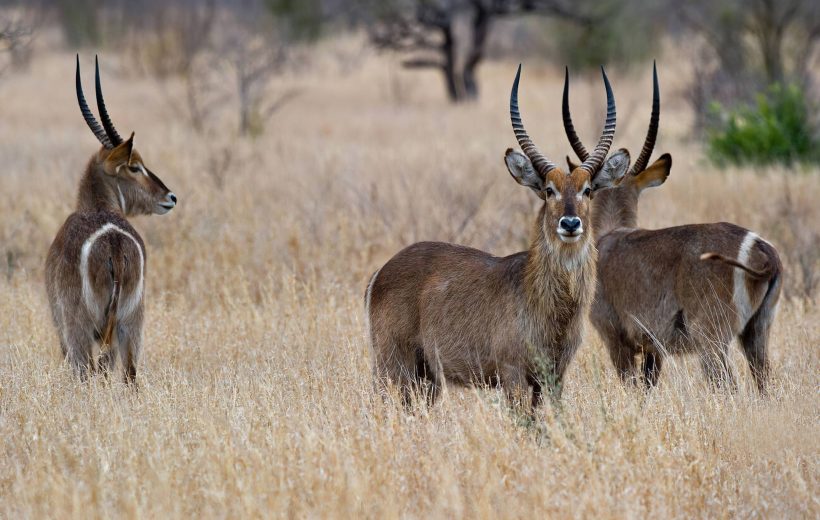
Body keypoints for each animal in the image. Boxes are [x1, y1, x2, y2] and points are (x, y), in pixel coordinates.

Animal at [45, 55, 177, 382]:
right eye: (135, 166)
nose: (170, 197)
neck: (97, 207)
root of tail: (113, 243)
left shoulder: (61, 327)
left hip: (79, 328)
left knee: (86, 373)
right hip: (130, 324)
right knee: (128, 376)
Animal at [366, 64, 620, 406]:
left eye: (588, 189)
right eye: (548, 190)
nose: (570, 223)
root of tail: (382, 271)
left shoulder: (554, 376)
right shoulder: (512, 374)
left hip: (427, 377)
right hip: (393, 364)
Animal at [564, 63, 780, 392]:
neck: (609, 235)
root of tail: (760, 249)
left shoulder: (615, 336)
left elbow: (630, 385)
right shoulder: (654, 348)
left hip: (711, 337)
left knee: (727, 385)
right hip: (757, 331)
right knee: (764, 381)